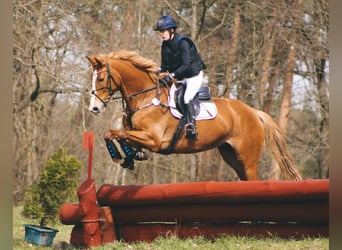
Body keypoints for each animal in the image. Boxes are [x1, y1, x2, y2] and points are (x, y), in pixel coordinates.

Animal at [86, 49, 302, 181]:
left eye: (102, 79)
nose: (94, 109)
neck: (145, 97)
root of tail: (253, 112)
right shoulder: (137, 134)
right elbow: (117, 134)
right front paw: (130, 157)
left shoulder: (154, 139)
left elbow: (114, 133)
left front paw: (120, 156)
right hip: (231, 154)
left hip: (248, 157)